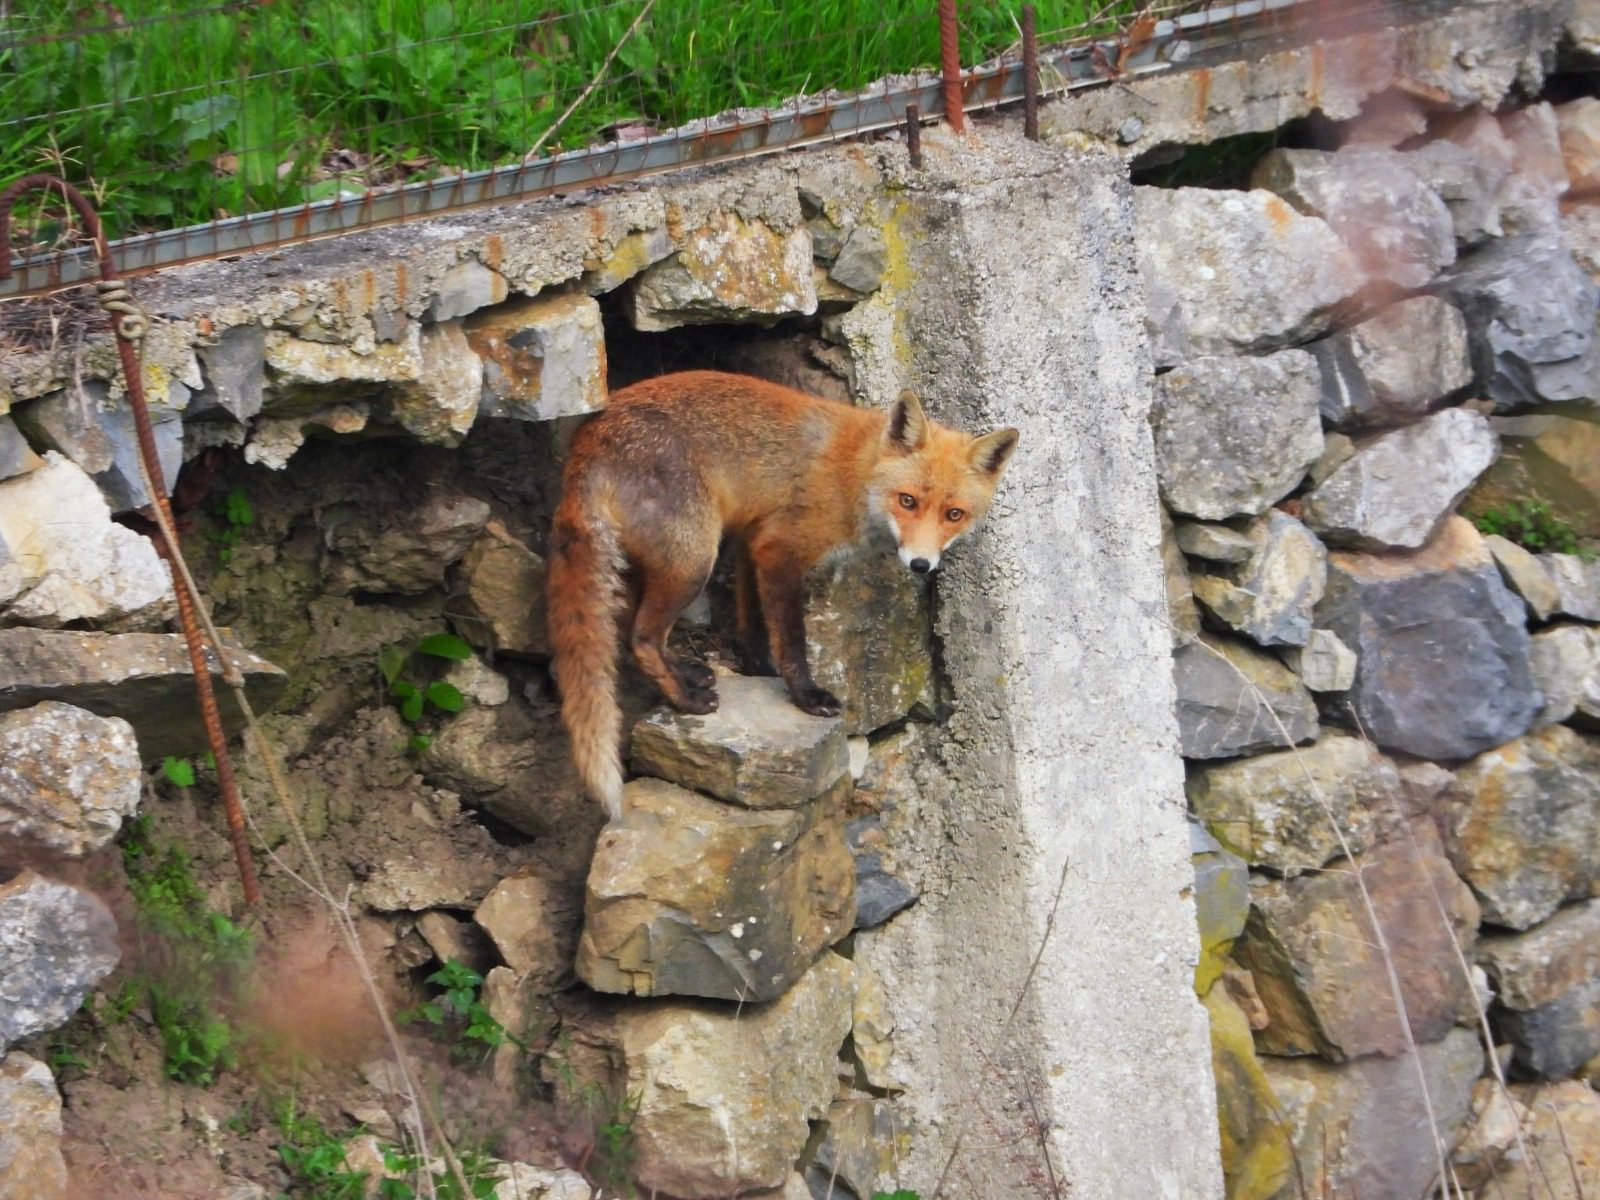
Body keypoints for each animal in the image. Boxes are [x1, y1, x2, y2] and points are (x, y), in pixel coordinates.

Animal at [550, 369, 1017, 819]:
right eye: (907, 501)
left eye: (954, 514)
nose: (921, 564)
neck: (857, 474)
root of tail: (589, 436)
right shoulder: (779, 550)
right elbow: (791, 639)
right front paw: (805, 696)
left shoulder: (753, 539)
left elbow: (753, 620)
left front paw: (755, 665)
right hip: (693, 561)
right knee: (641, 638)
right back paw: (685, 699)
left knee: (632, 633)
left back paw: (687, 673)